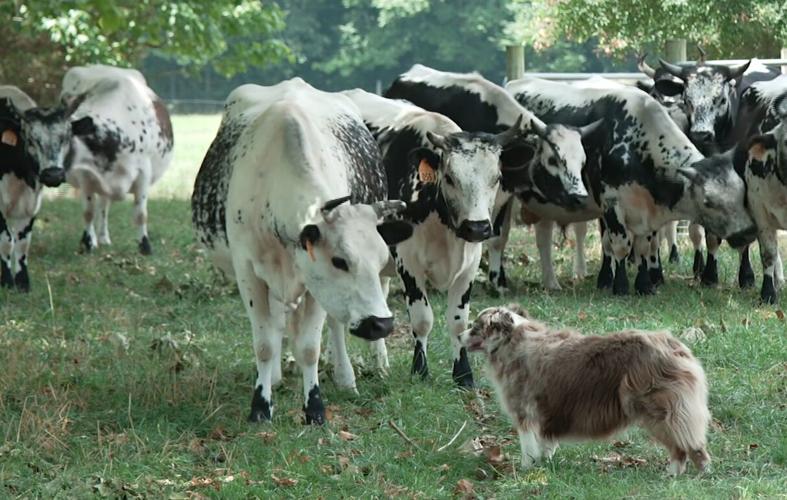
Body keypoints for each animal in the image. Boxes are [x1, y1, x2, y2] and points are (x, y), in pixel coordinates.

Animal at [191, 78, 413, 424]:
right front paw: (261, 406)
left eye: (379, 262)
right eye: (340, 260)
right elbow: (265, 343)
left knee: (333, 324)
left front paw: (315, 408)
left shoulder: (314, 285)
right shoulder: (248, 272)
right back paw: (276, 376)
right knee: (278, 326)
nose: (382, 324)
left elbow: (310, 347)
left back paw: (345, 377)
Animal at [341, 88, 527, 387]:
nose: (477, 228)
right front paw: (420, 370)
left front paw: (463, 374)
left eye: (497, 177)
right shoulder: (408, 262)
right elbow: (422, 319)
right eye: (449, 177)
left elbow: (458, 321)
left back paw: (381, 366)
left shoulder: (470, 265)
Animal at [384, 64, 597, 291]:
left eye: (582, 161)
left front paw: (498, 281)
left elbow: (498, 237)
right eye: (553, 160)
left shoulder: (504, 195)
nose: (579, 197)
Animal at [507, 77, 756, 295]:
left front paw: (644, 285)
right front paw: (620, 286)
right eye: (709, 201)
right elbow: (620, 245)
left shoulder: (645, 210)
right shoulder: (612, 204)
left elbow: (644, 246)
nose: (748, 232)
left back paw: (551, 282)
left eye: (742, 195)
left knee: (543, 237)